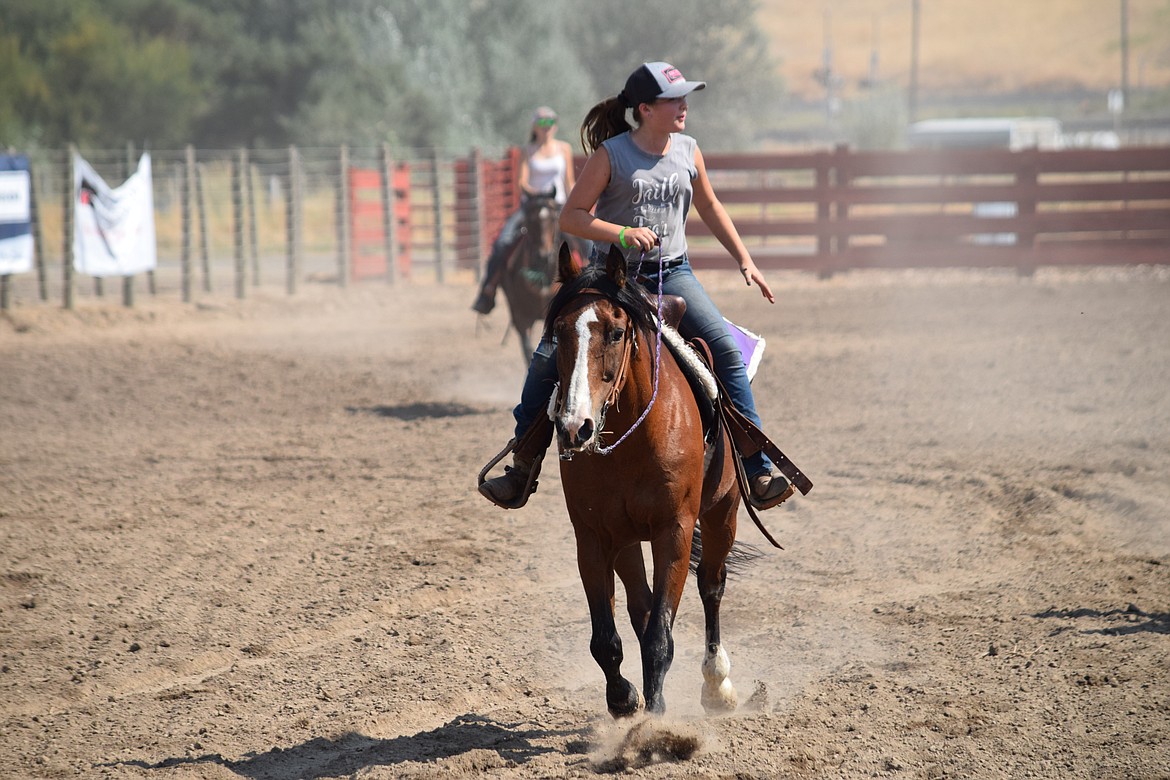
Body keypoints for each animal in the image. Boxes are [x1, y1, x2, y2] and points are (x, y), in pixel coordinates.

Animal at [545, 244, 739, 720]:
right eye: (558, 333)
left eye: (616, 333)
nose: (575, 427)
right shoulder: (593, 537)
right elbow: (607, 639)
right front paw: (624, 699)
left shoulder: (675, 530)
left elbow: (658, 639)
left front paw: (655, 721)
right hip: (628, 539)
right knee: (641, 606)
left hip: (722, 512)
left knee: (712, 585)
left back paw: (717, 682)